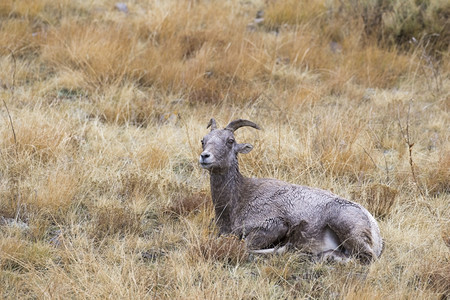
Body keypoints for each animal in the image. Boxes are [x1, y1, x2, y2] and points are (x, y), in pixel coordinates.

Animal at [200, 118, 384, 264]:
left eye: (230, 141)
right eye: (203, 140)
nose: (205, 157)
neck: (237, 202)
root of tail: (376, 231)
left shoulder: (275, 225)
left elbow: (245, 246)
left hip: (345, 226)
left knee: (366, 258)